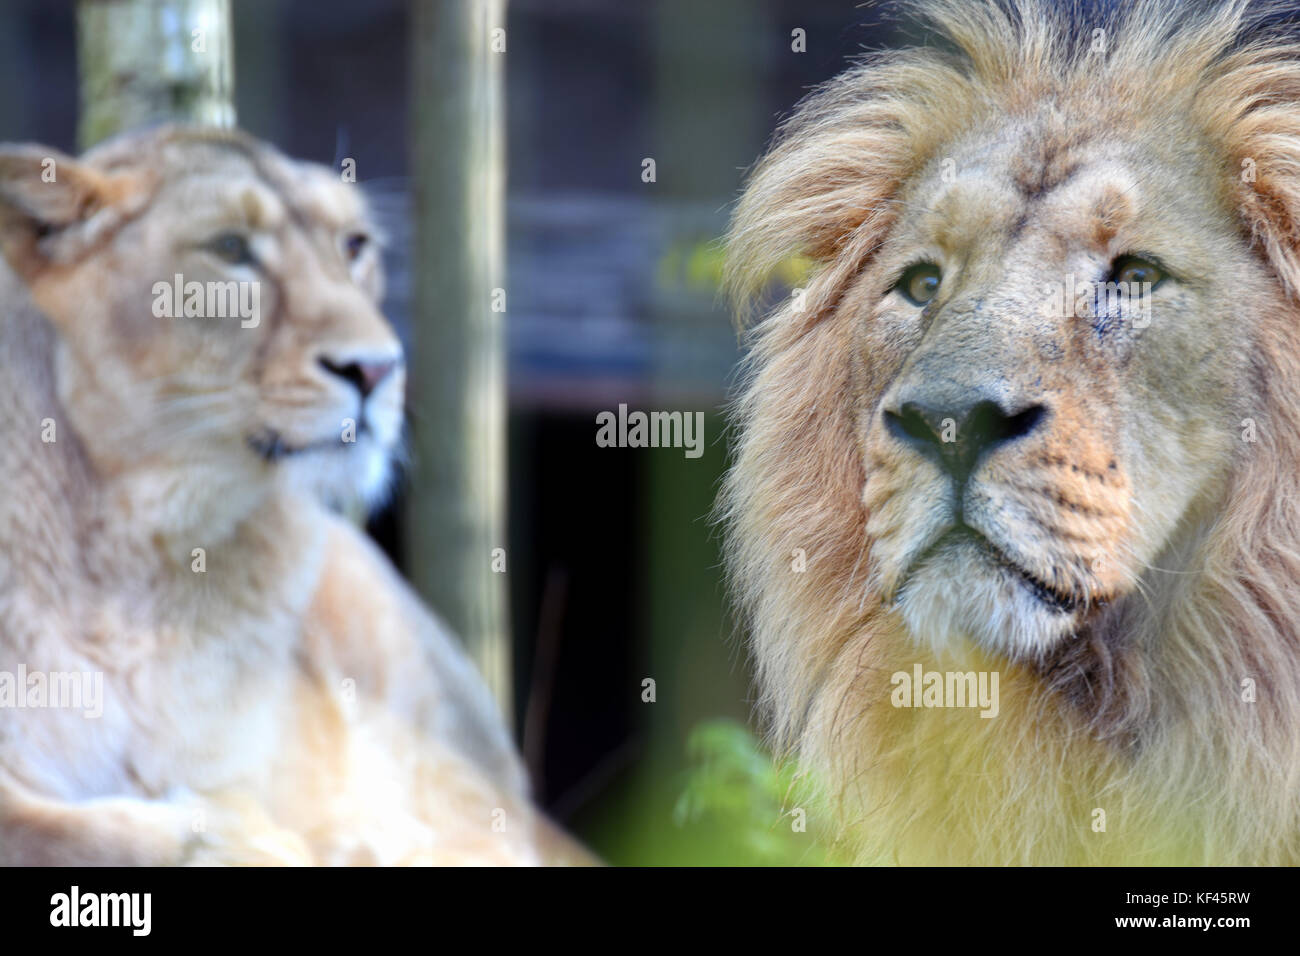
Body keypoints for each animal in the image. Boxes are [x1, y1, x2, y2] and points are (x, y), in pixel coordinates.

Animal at [1, 125, 564, 868]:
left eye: (353, 245)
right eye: (229, 249)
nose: (377, 369)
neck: (137, 551)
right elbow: (59, 830)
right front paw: (229, 837)